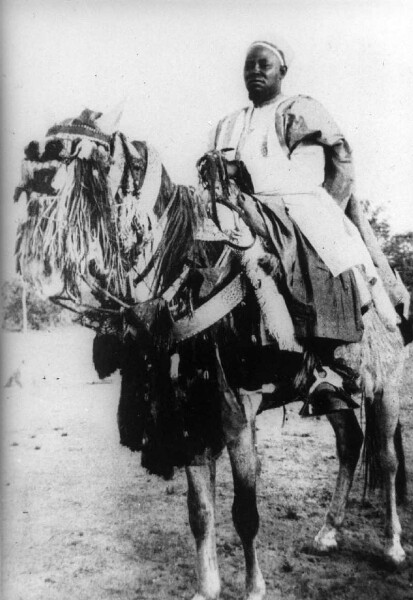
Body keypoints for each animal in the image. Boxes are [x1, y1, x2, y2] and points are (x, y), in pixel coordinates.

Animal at [15, 109, 408, 600]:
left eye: (70, 152)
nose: (32, 163)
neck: (190, 272)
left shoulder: (236, 413)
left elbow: (244, 512)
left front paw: (254, 588)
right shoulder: (191, 416)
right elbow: (200, 512)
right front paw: (207, 587)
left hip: (385, 384)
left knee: (388, 460)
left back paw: (393, 547)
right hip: (331, 393)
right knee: (349, 442)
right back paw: (327, 532)